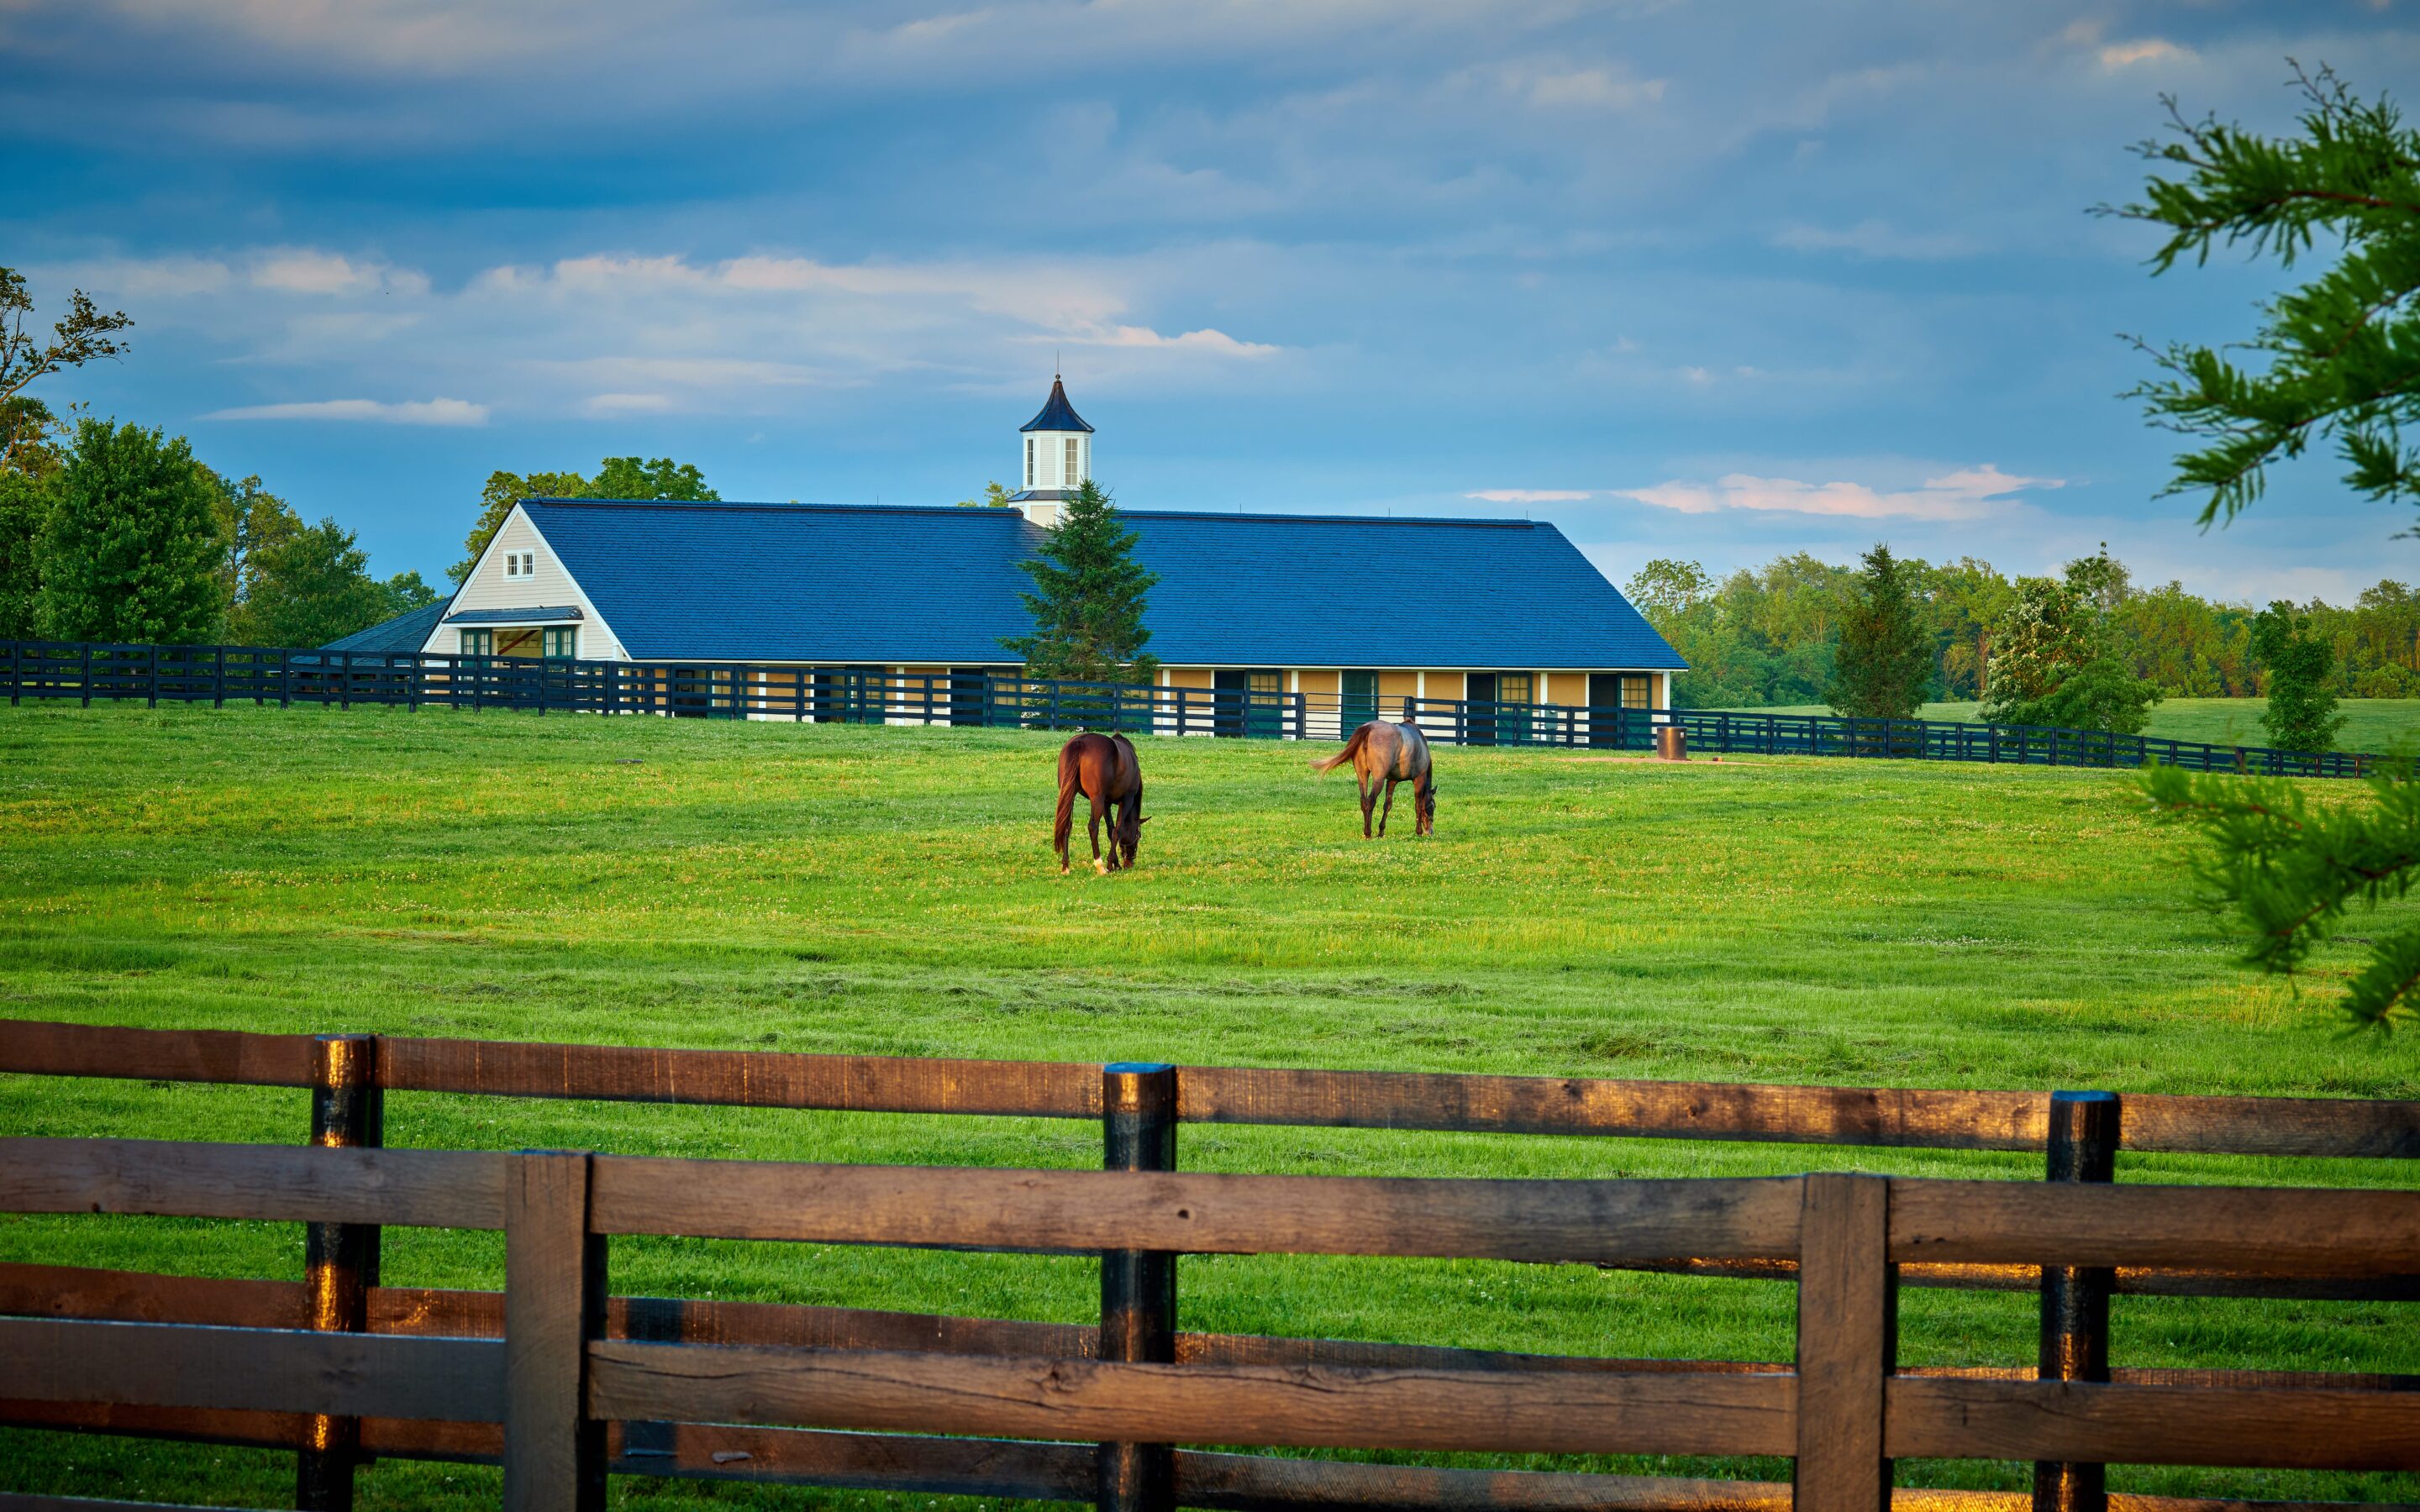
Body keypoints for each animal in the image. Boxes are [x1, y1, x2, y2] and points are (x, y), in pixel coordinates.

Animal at [1055, 730, 1147, 870]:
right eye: (1139, 835)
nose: (1129, 864)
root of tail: (1079, 743)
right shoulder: (1126, 800)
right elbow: (1118, 830)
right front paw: (1111, 864)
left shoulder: (1106, 803)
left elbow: (1111, 830)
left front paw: (1115, 863)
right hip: (1096, 799)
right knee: (1093, 827)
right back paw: (1100, 866)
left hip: (1069, 795)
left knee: (1066, 824)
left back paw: (1066, 866)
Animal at [1307, 721, 1432, 837]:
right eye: (1433, 806)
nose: (1430, 832)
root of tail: (1369, 727)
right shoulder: (1419, 779)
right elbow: (1418, 805)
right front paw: (1419, 831)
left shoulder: (1392, 781)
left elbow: (1388, 805)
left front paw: (1381, 831)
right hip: (1378, 779)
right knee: (1371, 801)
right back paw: (1368, 833)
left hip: (1362, 776)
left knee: (1364, 801)